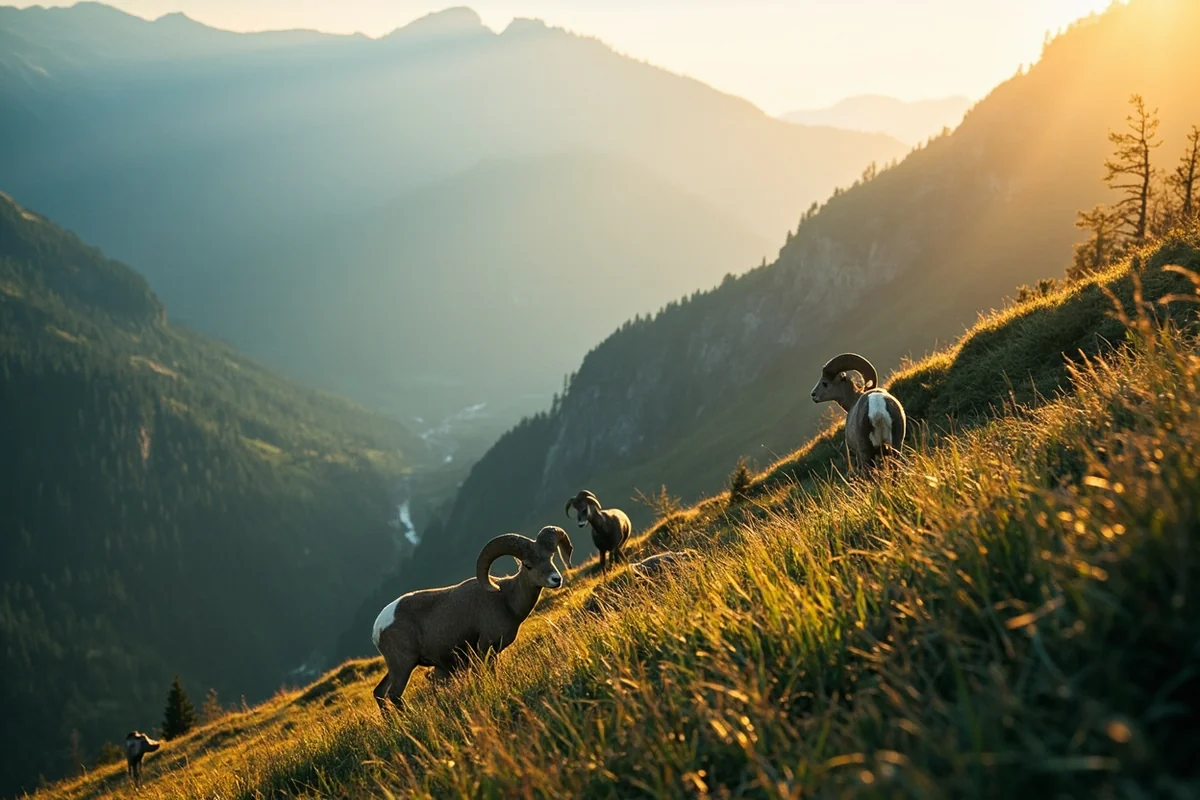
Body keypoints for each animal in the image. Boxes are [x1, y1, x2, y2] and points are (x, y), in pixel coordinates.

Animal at [371, 525, 573, 716]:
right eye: (528, 565)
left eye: (551, 557)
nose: (556, 579)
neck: (505, 599)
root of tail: (378, 628)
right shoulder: (484, 648)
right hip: (404, 666)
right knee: (393, 696)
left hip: (395, 668)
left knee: (379, 693)